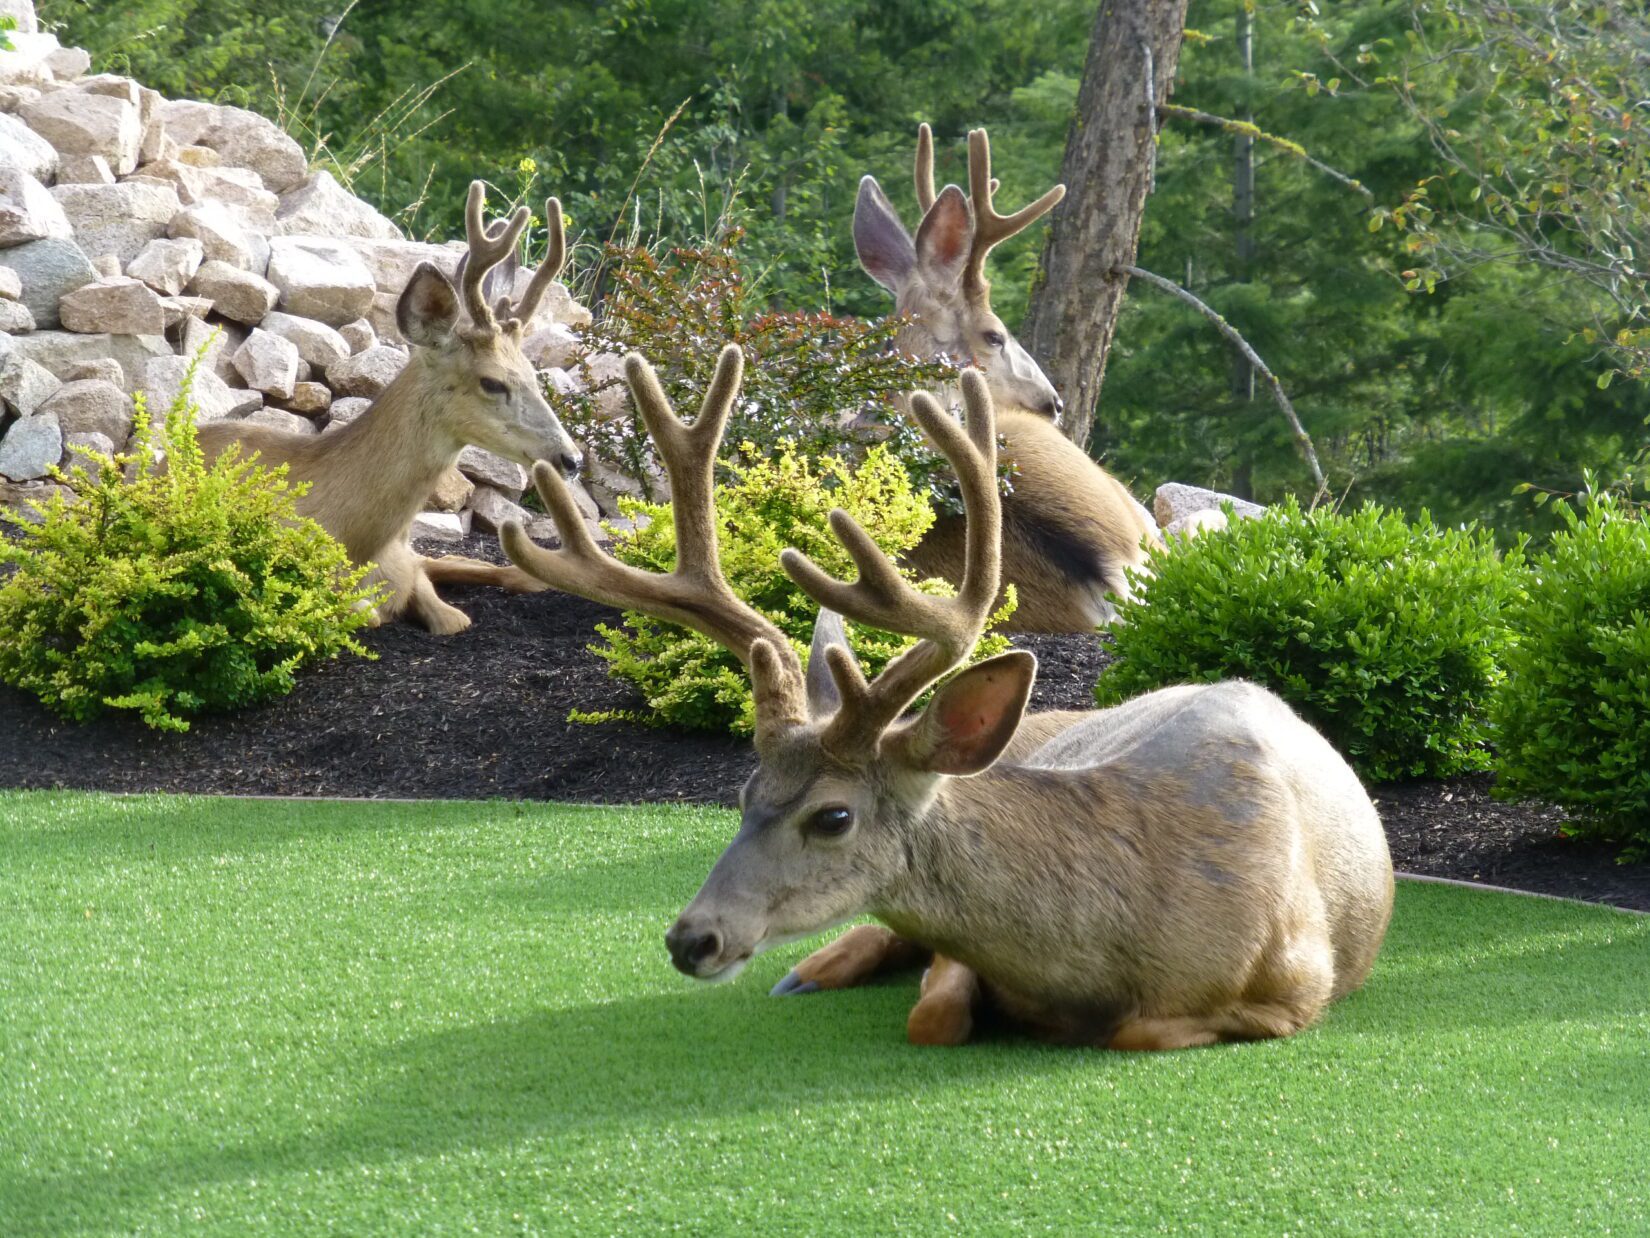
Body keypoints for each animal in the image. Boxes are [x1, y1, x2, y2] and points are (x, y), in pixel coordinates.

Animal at [197, 181, 584, 640]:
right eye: (492, 382)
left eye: (533, 373)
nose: (572, 458)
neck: (356, 541)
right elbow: (373, 610)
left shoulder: (408, 563)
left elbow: (452, 607)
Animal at [498, 344, 1392, 1049]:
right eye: (744, 795)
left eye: (833, 816)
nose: (693, 939)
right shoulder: (958, 956)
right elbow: (935, 1009)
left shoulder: (1297, 989)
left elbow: (1135, 1033)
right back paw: (813, 969)